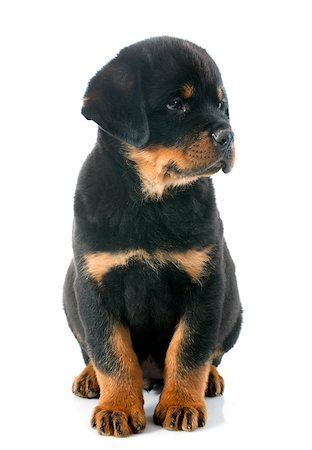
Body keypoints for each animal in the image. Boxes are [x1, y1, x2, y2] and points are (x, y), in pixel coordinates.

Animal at [63, 37, 243, 438]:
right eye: (176, 104)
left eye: (221, 105)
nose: (228, 136)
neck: (152, 201)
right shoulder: (95, 285)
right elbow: (112, 354)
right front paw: (117, 408)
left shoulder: (205, 283)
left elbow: (189, 351)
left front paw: (181, 404)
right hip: (70, 292)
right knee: (91, 351)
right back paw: (90, 378)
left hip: (233, 307)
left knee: (212, 354)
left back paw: (210, 380)